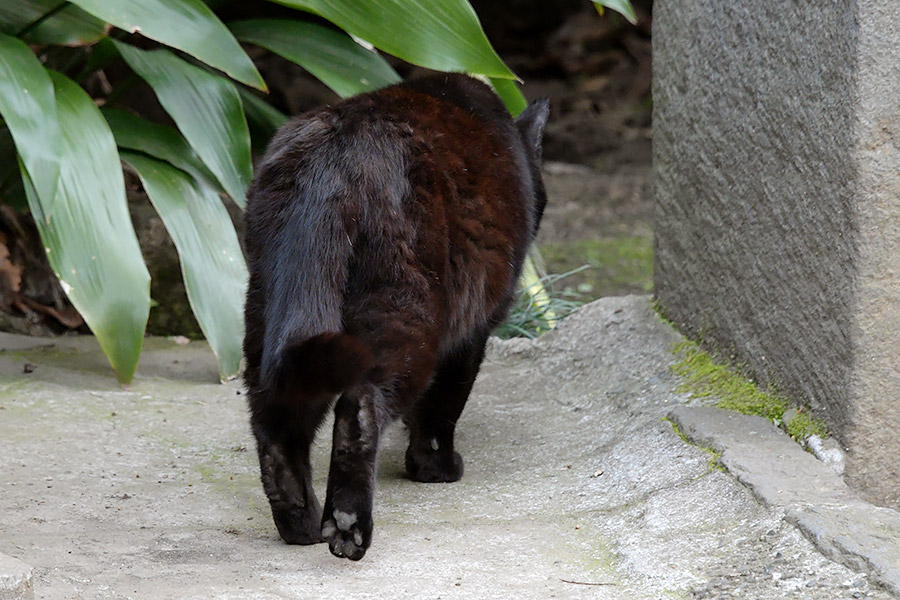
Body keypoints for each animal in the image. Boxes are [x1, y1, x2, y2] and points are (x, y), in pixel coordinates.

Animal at [241, 72, 548, 560]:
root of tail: (336, 157)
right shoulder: (471, 334)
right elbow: (444, 405)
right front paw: (435, 467)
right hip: (408, 316)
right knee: (361, 407)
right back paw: (347, 526)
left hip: (268, 309)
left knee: (275, 421)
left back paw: (300, 524)